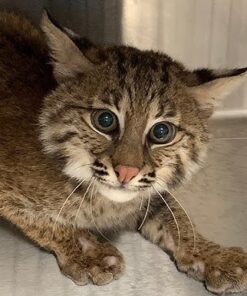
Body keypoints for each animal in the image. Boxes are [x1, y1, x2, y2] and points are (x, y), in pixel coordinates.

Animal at [0, 11, 247, 294]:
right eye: (104, 120)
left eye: (161, 132)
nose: (126, 173)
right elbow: (43, 222)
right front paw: (89, 254)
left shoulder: (150, 192)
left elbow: (178, 218)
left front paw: (216, 256)